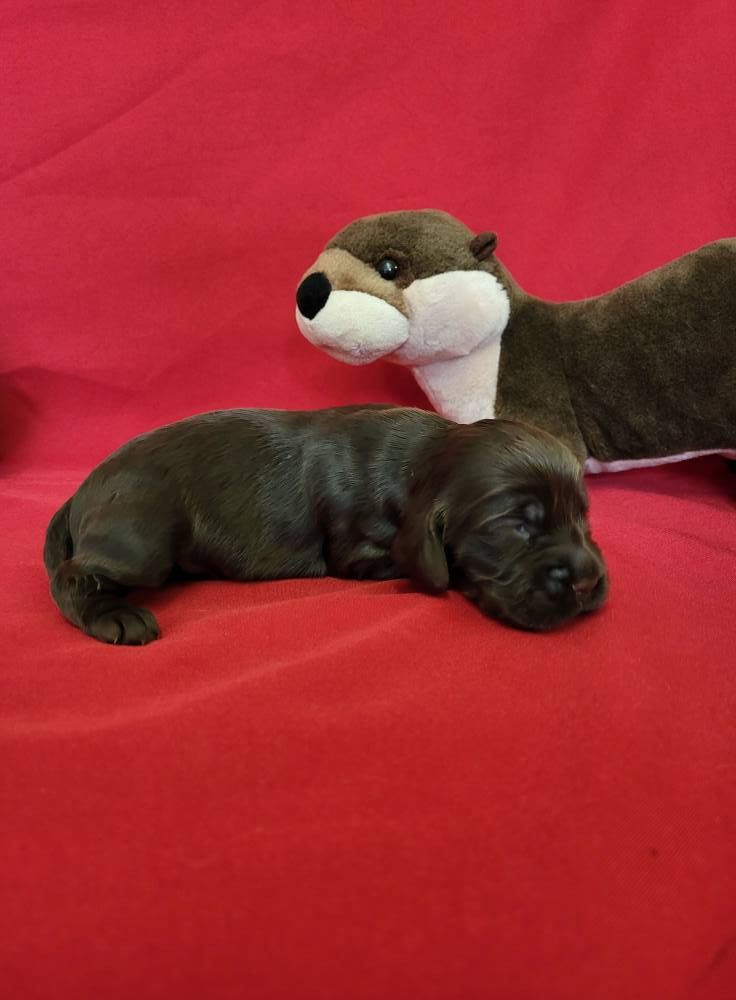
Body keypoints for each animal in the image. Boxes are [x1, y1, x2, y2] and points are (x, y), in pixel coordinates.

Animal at [44, 405, 609, 644]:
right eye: (517, 526)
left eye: (582, 515)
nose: (587, 582)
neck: (420, 461)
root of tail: (79, 492)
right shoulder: (357, 549)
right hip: (142, 535)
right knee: (71, 576)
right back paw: (116, 618)